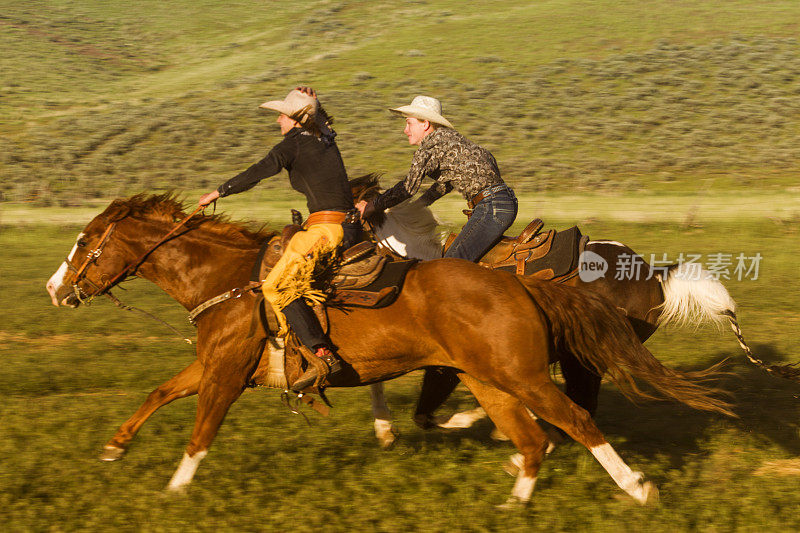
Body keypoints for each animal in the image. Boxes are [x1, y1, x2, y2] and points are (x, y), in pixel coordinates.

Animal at [45, 193, 732, 504]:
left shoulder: (226, 373)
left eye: (85, 244)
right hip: (496, 375)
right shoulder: (213, 364)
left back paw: (635, 487)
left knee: (576, 419)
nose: (56, 288)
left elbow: (200, 431)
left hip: (529, 374)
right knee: (540, 432)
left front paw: (176, 488)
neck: (231, 280)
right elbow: (160, 391)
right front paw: (114, 448)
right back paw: (517, 486)